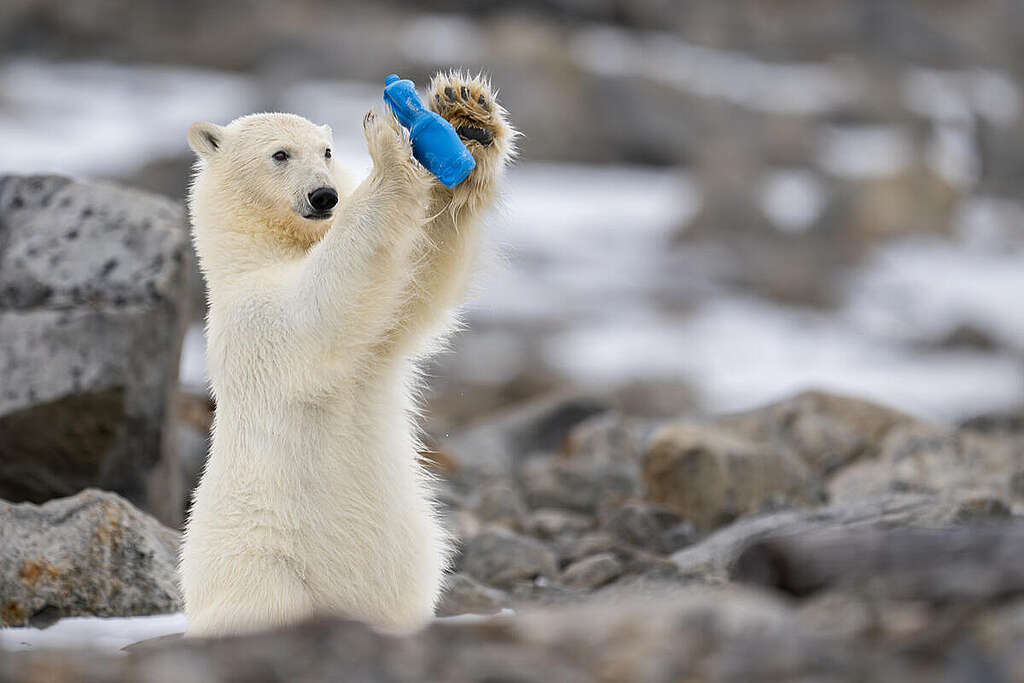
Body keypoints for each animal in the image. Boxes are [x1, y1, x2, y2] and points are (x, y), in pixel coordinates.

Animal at [180, 72, 516, 638]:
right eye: (280, 154)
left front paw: (467, 118)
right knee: (267, 604)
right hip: (257, 563)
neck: (257, 253)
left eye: (326, 152)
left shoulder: (379, 334)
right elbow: (323, 301)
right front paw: (387, 144)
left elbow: (419, 280)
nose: (324, 195)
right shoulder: (253, 320)